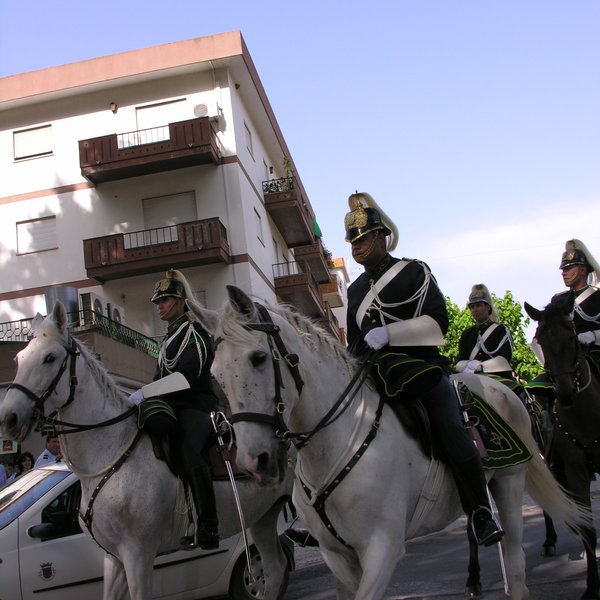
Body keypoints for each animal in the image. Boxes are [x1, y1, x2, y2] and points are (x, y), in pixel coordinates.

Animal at [0, 302, 292, 600]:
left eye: (49, 358)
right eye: (19, 358)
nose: (8, 418)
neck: (110, 453)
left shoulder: (138, 554)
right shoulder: (113, 557)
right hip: (263, 515)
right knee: (275, 567)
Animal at [193, 288, 592, 600]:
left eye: (258, 358)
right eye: (215, 376)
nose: (254, 461)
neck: (334, 440)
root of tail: (503, 389)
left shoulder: (382, 547)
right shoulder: (337, 555)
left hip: (510, 483)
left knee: (516, 569)